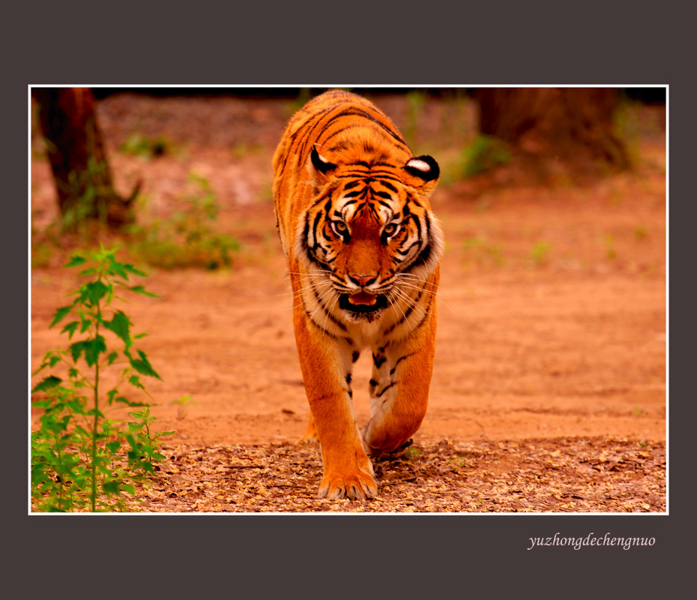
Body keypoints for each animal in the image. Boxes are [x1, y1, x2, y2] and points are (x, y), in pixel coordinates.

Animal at [270, 90, 444, 502]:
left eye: (390, 229)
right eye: (340, 228)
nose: (362, 280)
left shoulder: (418, 323)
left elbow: (410, 402)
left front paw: (378, 438)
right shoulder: (314, 327)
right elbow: (330, 403)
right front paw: (348, 479)